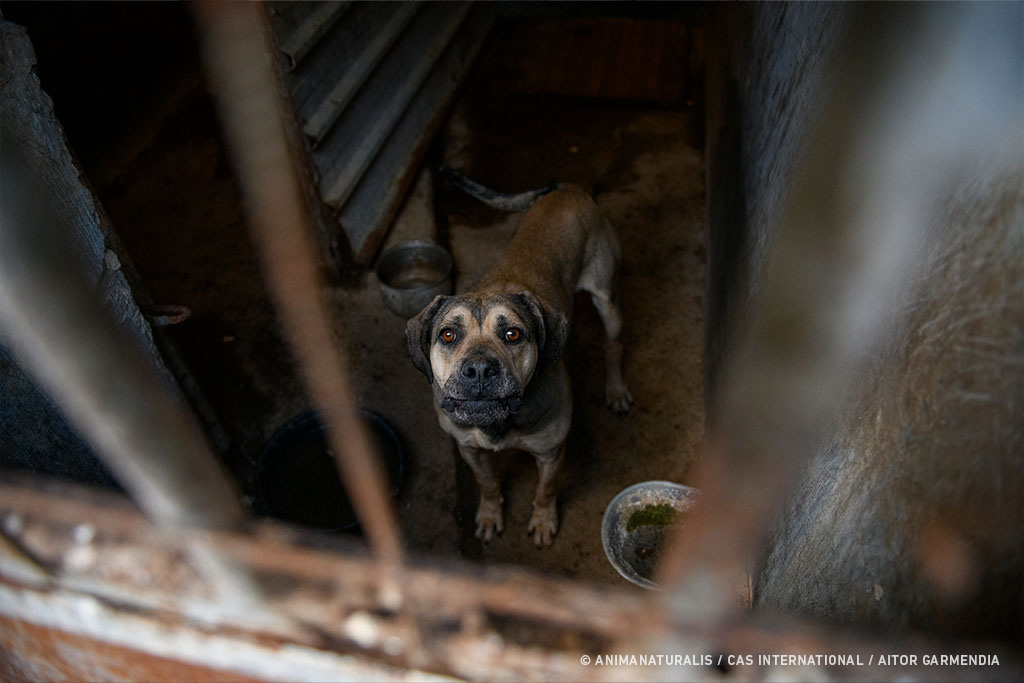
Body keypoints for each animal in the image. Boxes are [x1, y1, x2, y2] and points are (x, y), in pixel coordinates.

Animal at [407, 169, 630, 544]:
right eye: (448, 334)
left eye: (513, 334)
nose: (479, 370)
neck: (499, 424)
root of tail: (567, 190)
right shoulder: (469, 450)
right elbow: (487, 483)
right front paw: (489, 513)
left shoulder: (551, 453)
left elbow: (545, 489)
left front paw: (542, 521)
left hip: (607, 297)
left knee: (613, 344)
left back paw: (615, 389)